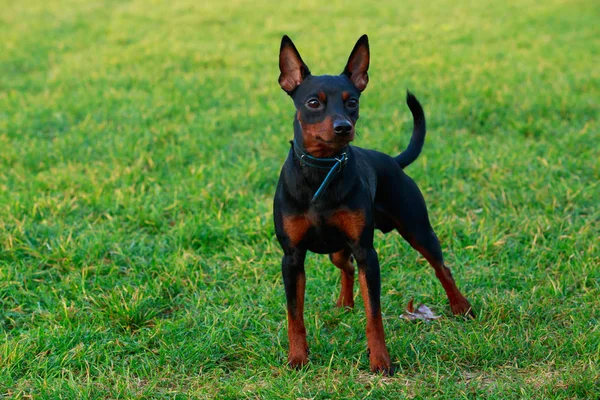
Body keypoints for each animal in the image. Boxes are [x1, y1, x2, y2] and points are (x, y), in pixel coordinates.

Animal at [272, 34, 474, 376]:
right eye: (313, 103)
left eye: (352, 101)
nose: (343, 127)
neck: (323, 171)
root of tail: (392, 161)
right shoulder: (292, 257)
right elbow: (294, 315)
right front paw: (297, 358)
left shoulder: (368, 252)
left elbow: (374, 313)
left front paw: (380, 360)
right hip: (339, 248)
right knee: (346, 266)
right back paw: (345, 303)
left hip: (418, 230)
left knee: (441, 267)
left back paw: (461, 306)